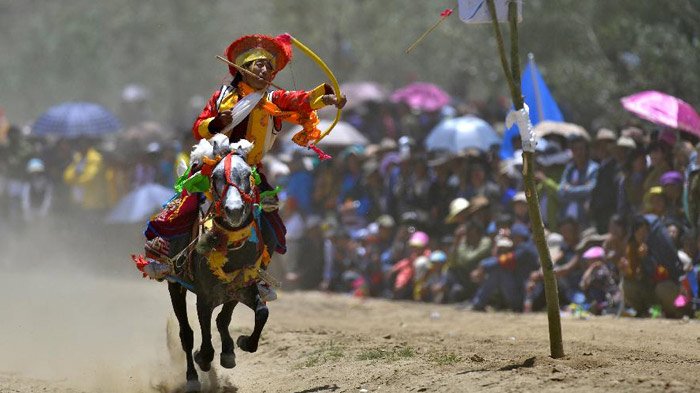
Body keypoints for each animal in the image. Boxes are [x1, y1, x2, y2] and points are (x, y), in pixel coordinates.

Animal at [169, 148, 276, 392]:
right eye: (216, 176)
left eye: (247, 175)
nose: (234, 210)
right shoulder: (204, 296)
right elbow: (205, 342)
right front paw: (202, 357)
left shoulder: (244, 285)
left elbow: (261, 312)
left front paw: (243, 342)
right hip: (175, 286)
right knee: (186, 333)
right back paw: (192, 377)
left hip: (230, 293)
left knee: (222, 320)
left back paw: (227, 352)